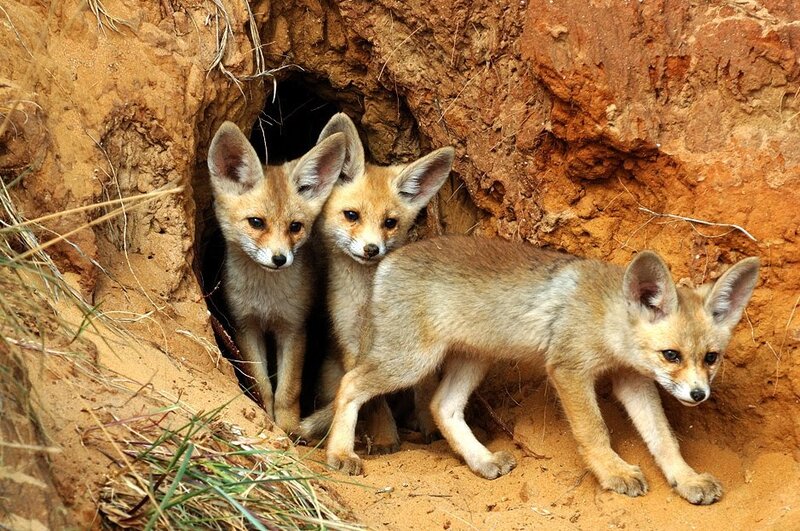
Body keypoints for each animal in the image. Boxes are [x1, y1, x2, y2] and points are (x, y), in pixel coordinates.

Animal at [207, 121, 346, 433]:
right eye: (257, 223)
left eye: (295, 227)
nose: (280, 259)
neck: (266, 300)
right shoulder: (246, 326)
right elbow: (262, 384)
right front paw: (266, 418)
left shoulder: (293, 329)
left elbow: (288, 390)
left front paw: (288, 428)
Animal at [296, 113, 454, 448]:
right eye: (351, 215)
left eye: (390, 223)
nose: (372, 249)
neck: (368, 300)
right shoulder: (351, 341)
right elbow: (370, 398)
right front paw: (384, 438)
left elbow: (423, 386)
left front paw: (429, 429)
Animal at [324, 235, 759, 505]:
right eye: (672, 355)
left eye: (711, 358)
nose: (699, 395)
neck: (607, 317)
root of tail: (388, 260)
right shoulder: (569, 369)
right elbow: (595, 432)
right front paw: (613, 472)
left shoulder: (632, 381)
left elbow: (665, 440)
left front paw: (686, 479)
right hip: (411, 361)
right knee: (349, 384)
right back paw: (340, 453)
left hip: (474, 359)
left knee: (441, 407)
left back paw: (482, 461)